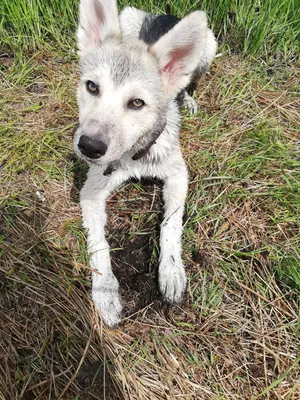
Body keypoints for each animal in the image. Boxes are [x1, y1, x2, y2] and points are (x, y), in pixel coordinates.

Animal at [74, 0, 217, 328]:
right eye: (92, 87)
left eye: (137, 103)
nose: (89, 147)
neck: (134, 153)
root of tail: (165, 14)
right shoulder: (90, 191)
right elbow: (99, 244)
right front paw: (105, 291)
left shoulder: (178, 175)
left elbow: (170, 225)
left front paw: (172, 270)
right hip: (128, 16)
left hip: (208, 47)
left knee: (188, 83)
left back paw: (188, 101)